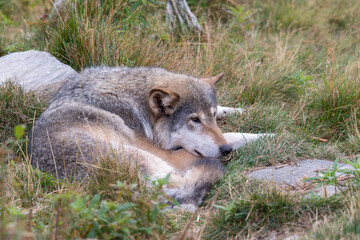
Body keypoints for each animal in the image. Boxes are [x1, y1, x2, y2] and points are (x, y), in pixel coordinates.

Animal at [29, 67, 268, 206]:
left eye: (211, 115)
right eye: (194, 120)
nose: (226, 150)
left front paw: (241, 111)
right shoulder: (168, 153)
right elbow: (232, 134)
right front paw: (267, 135)